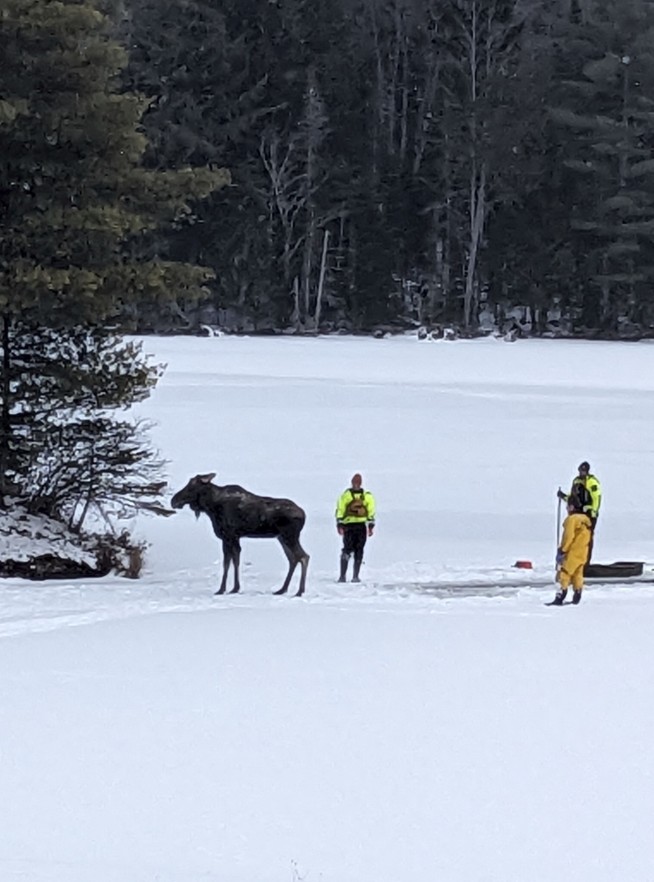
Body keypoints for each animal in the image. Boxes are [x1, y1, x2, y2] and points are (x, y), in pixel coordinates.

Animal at [170, 473, 309, 596]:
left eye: (191, 486)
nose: (173, 501)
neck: (211, 507)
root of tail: (303, 515)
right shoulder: (234, 537)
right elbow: (235, 560)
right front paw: (235, 588)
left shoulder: (227, 536)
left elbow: (227, 563)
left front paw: (222, 589)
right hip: (281, 537)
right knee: (293, 559)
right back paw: (282, 589)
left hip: (289, 536)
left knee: (303, 557)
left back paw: (299, 591)